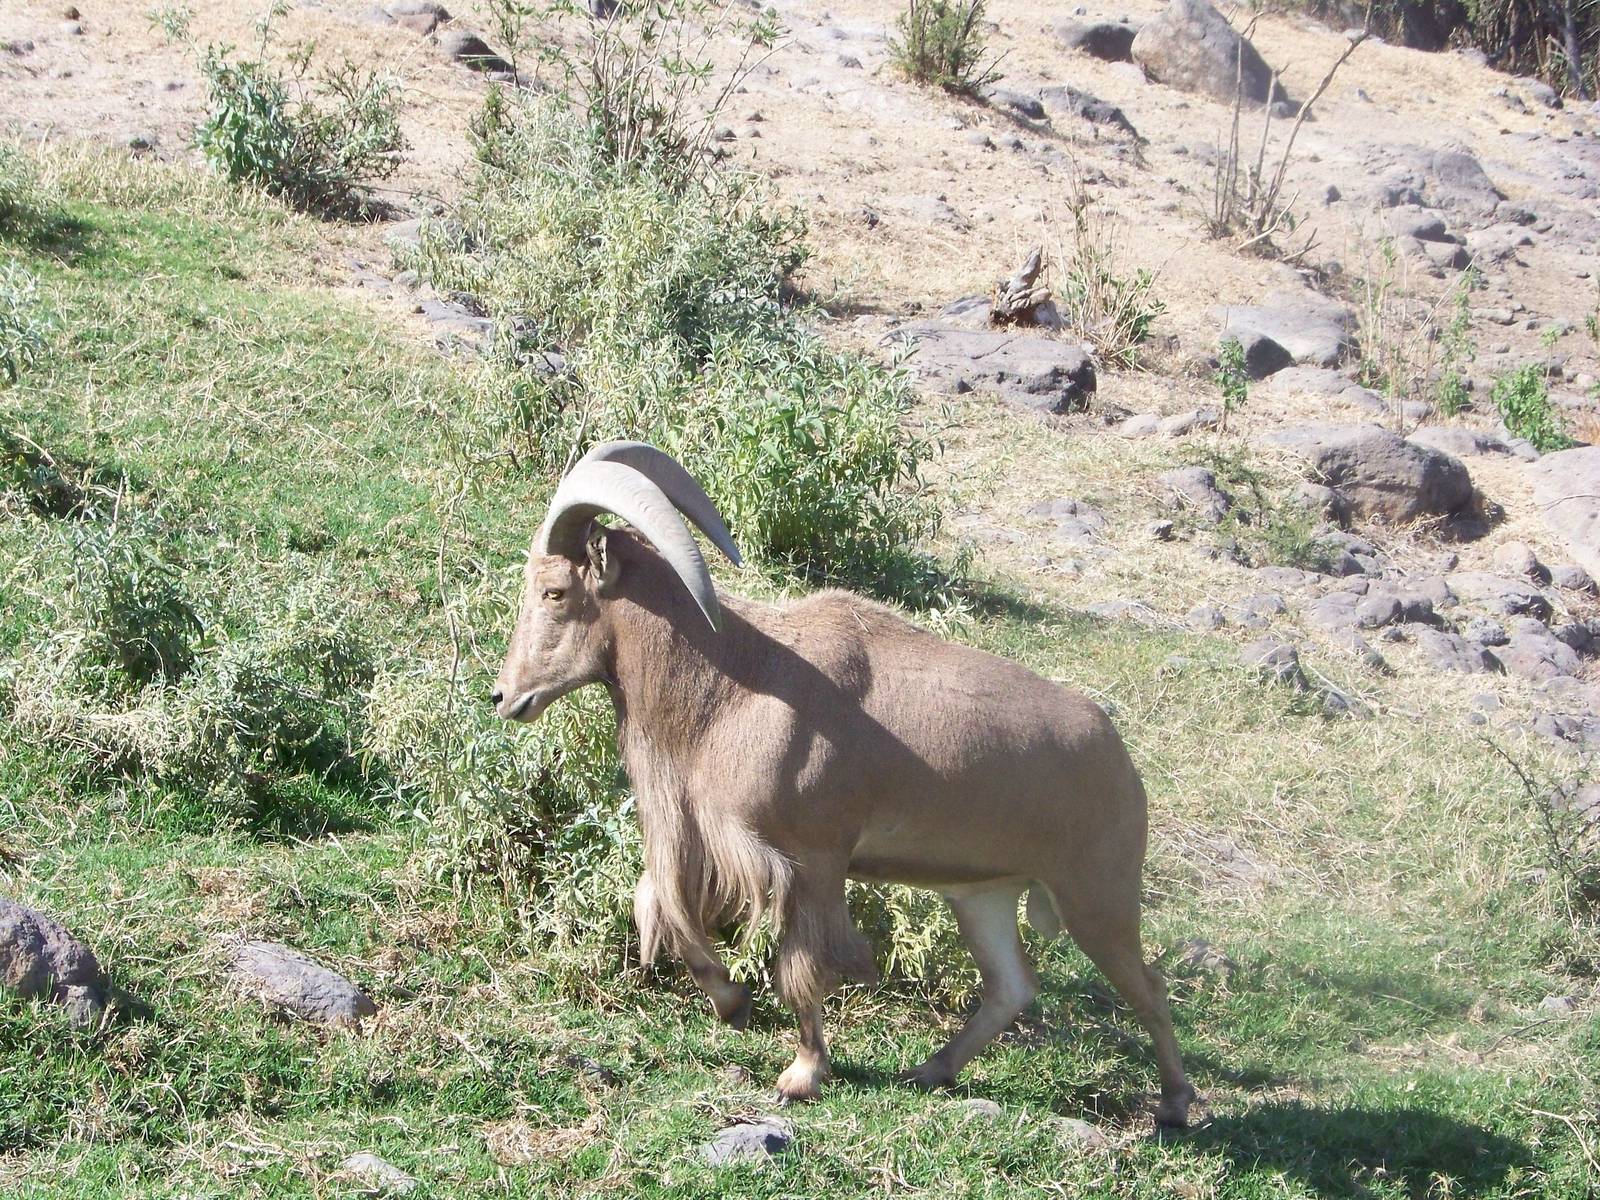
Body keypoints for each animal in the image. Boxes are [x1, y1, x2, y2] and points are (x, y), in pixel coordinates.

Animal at [492, 440, 1196, 1126]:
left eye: (554, 592)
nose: (504, 696)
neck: (736, 683)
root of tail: (1117, 757)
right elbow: (658, 902)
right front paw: (731, 1002)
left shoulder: (812, 859)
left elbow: (800, 968)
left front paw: (801, 1075)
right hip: (984, 894)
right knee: (1012, 984)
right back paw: (931, 1070)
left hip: (1095, 892)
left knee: (1147, 987)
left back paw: (1175, 1103)